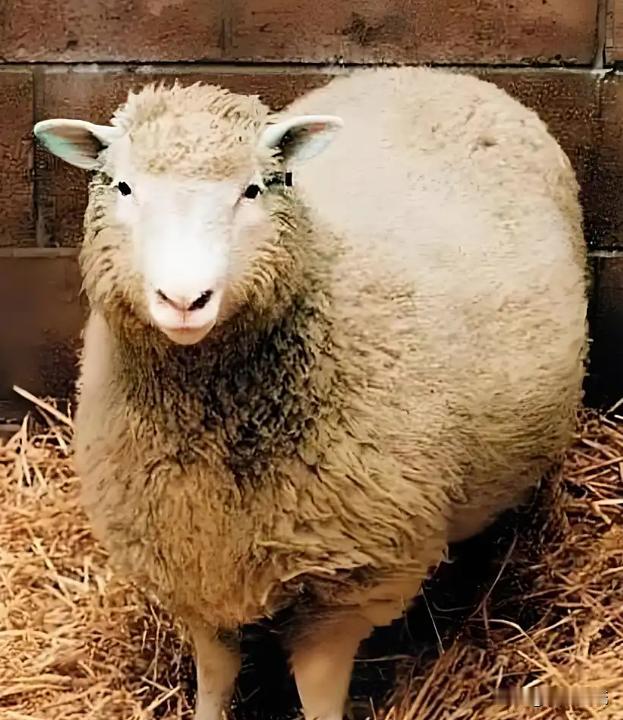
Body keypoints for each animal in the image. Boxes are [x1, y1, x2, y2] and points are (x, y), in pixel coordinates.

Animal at [33, 66, 588, 720]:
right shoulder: (191, 564)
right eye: (123, 186)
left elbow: (318, 689)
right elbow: (215, 673)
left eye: (253, 190)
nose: (184, 300)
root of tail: (436, 72)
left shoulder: (347, 585)